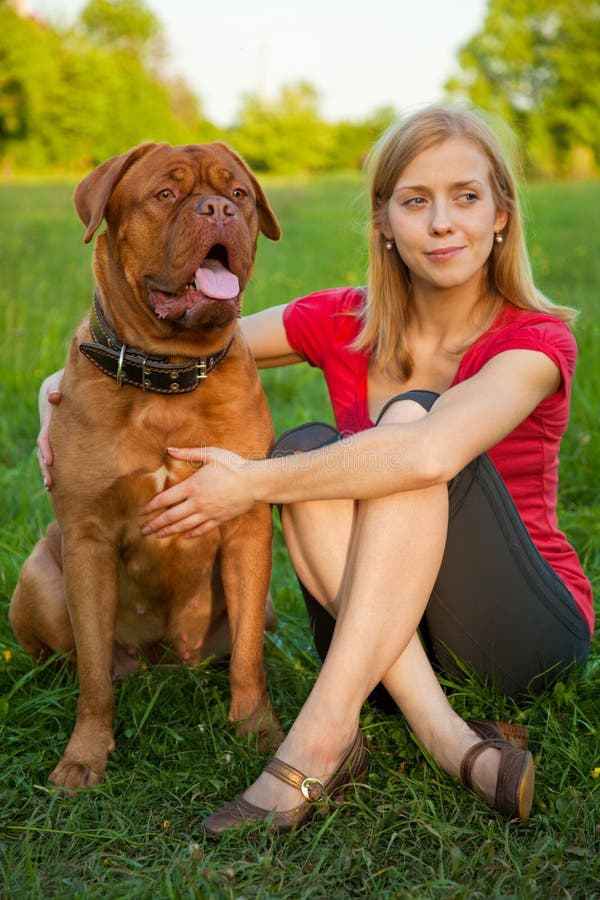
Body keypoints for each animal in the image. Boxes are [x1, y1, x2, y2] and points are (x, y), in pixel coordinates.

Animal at [9, 139, 284, 788]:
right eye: (165, 193)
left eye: (239, 194)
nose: (217, 209)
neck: (167, 376)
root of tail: (162, 666)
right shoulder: (88, 540)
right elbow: (91, 678)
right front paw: (84, 756)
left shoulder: (248, 527)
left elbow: (250, 662)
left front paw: (259, 734)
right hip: (38, 576)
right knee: (75, 661)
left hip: (260, 609)